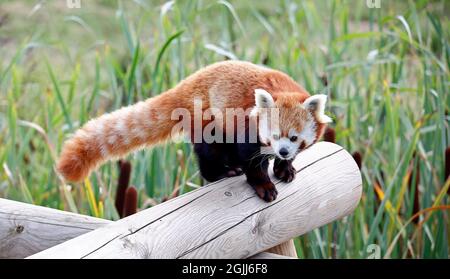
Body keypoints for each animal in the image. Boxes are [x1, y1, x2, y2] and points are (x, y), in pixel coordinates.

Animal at [57, 60, 330, 201]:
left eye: (293, 138)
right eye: (273, 136)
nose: (282, 151)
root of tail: (186, 84)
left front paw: (285, 168)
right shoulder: (245, 127)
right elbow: (252, 162)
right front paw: (264, 185)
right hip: (208, 120)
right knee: (208, 152)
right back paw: (222, 172)